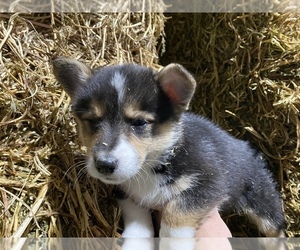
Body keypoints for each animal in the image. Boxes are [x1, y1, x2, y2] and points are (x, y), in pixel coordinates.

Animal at [52, 57, 284, 240]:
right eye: (92, 121)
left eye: (139, 123)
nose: (104, 165)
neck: (153, 164)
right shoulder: (127, 194)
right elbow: (138, 224)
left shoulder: (209, 184)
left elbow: (175, 217)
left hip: (262, 199)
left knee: (276, 229)